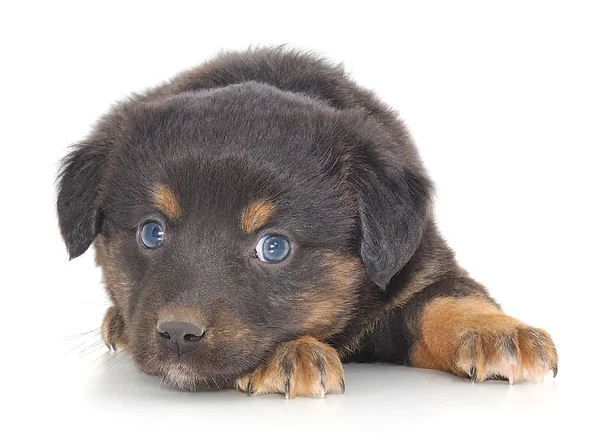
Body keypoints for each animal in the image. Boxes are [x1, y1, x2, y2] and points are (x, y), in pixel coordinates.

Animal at [56, 48, 556, 400]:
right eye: (151, 232)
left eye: (274, 247)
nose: (178, 333)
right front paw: (289, 354)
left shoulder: (421, 267)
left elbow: (450, 300)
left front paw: (500, 333)